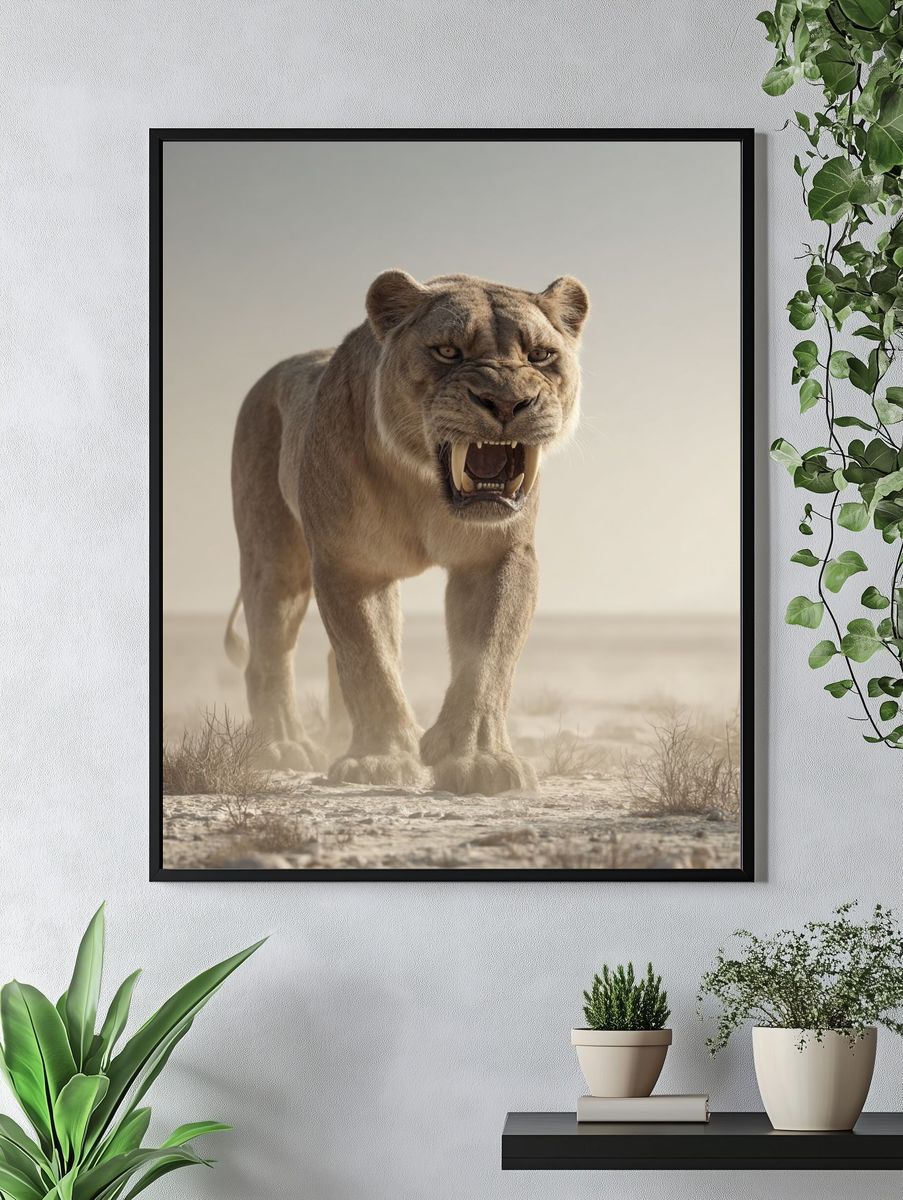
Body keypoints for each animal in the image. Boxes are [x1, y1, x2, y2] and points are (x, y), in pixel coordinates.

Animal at [225, 269, 589, 795]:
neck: (425, 486)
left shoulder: (498, 556)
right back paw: (282, 748)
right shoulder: (350, 563)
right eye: (448, 351)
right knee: (269, 653)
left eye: (540, 355)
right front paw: (380, 759)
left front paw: (478, 758)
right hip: (274, 560)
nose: (506, 403)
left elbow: (487, 660)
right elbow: (370, 662)